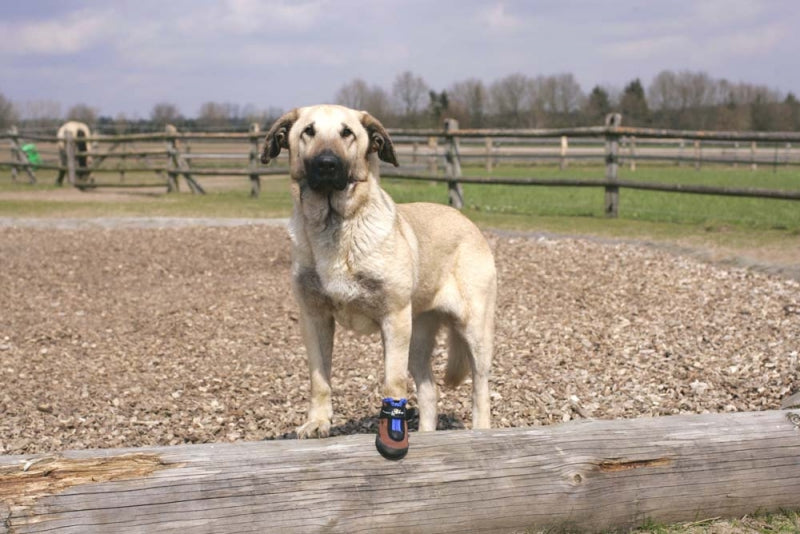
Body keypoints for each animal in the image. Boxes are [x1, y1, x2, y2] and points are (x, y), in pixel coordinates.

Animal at [262, 105, 494, 460]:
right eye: (308, 132)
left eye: (347, 133)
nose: (327, 164)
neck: (335, 226)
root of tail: (469, 224)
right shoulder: (314, 318)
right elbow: (319, 380)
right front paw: (317, 423)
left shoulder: (393, 319)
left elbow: (392, 383)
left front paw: (392, 432)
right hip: (417, 338)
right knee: (429, 390)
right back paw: (427, 436)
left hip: (473, 331)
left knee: (480, 388)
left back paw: (481, 432)